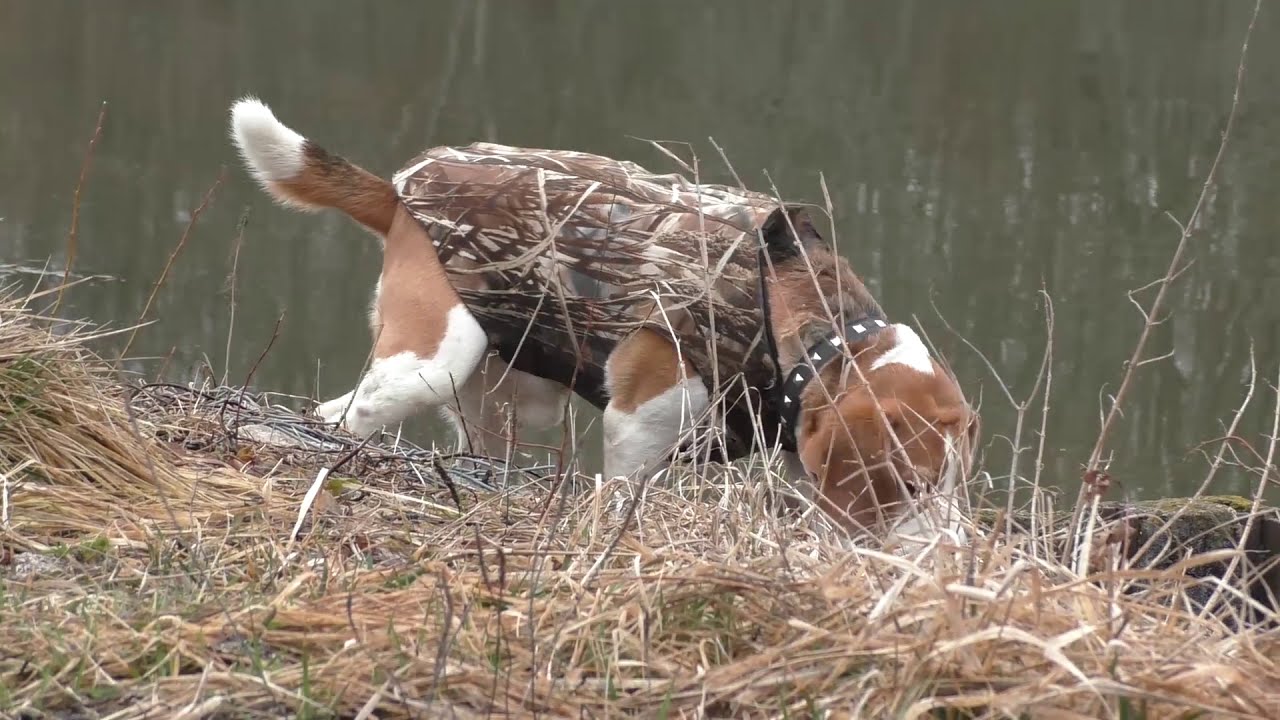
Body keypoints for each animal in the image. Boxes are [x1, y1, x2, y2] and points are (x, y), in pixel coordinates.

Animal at [227, 96, 977, 543]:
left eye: (952, 489)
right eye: (910, 485)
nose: (945, 552)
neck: (822, 341)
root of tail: (400, 191)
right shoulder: (641, 420)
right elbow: (623, 486)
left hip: (501, 395)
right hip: (430, 361)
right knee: (343, 413)